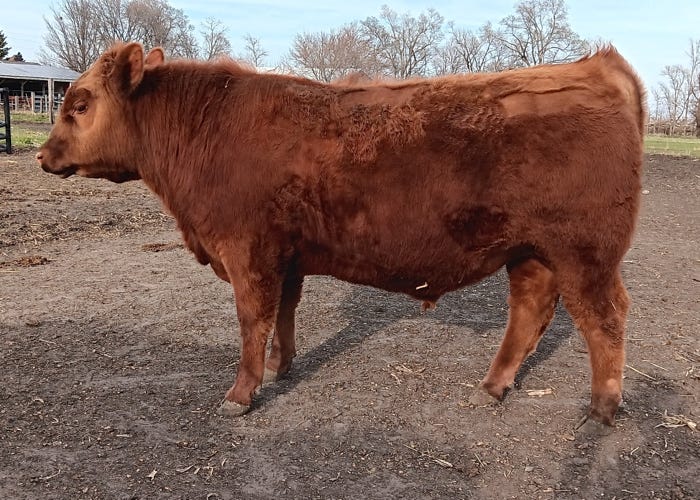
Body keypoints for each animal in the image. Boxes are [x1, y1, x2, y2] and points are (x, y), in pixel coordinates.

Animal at [37, 42, 645, 433]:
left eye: (81, 104)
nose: (42, 156)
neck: (207, 130)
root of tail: (599, 67)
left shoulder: (248, 252)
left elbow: (251, 320)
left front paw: (241, 393)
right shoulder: (286, 256)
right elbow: (283, 313)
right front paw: (281, 366)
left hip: (585, 255)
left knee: (605, 318)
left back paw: (602, 409)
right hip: (532, 253)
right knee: (530, 310)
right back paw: (494, 385)